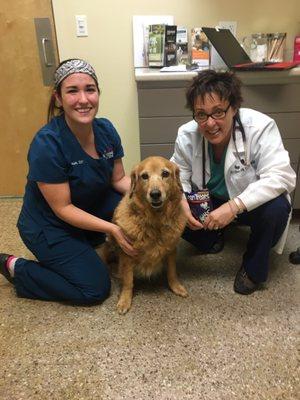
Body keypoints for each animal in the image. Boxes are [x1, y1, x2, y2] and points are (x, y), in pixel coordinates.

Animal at [104, 155, 186, 314]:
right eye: (144, 176)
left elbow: (172, 272)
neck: (156, 222)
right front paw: (125, 300)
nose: (155, 194)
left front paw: (176, 287)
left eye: (165, 174)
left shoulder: (171, 250)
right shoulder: (127, 254)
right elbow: (128, 281)